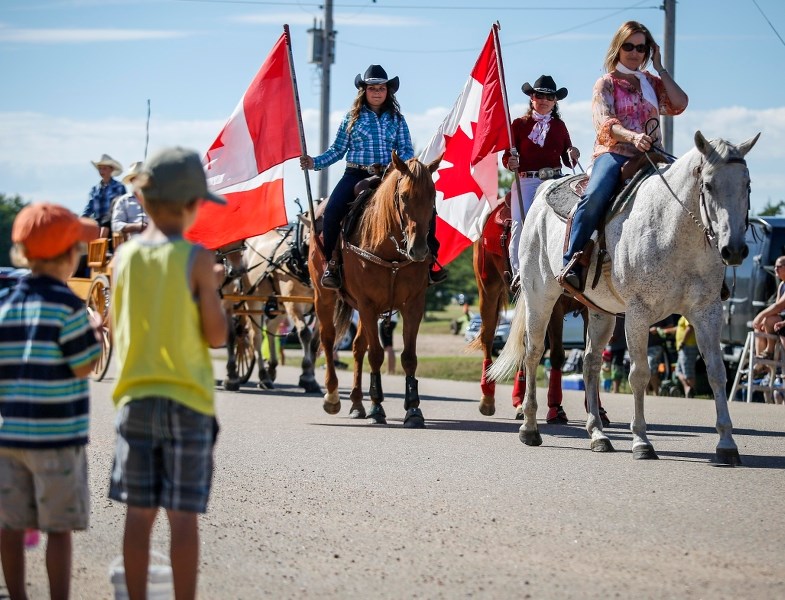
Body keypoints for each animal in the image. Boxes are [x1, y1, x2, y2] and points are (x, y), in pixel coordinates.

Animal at [308, 152, 440, 428]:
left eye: (433, 195)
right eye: (404, 196)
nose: (419, 250)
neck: (390, 252)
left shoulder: (413, 305)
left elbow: (408, 357)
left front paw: (413, 409)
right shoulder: (368, 305)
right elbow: (377, 354)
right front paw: (377, 407)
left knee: (358, 347)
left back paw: (357, 404)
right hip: (324, 297)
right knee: (327, 339)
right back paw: (332, 397)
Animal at [468, 197, 608, 422]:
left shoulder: (592, 309)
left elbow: (592, 355)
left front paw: (597, 409)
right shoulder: (553, 308)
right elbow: (557, 355)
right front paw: (555, 408)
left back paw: (518, 401)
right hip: (489, 291)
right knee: (488, 339)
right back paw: (488, 397)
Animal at [490, 131, 760, 464]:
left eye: (747, 184)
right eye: (707, 184)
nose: (734, 250)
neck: (674, 229)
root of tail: (542, 191)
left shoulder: (707, 312)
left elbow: (717, 373)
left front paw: (726, 443)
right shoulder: (638, 315)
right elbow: (640, 374)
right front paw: (642, 441)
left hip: (600, 312)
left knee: (590, 363)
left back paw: (598, 434)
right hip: (540, 296)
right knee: (533, 353)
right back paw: (529, 427)